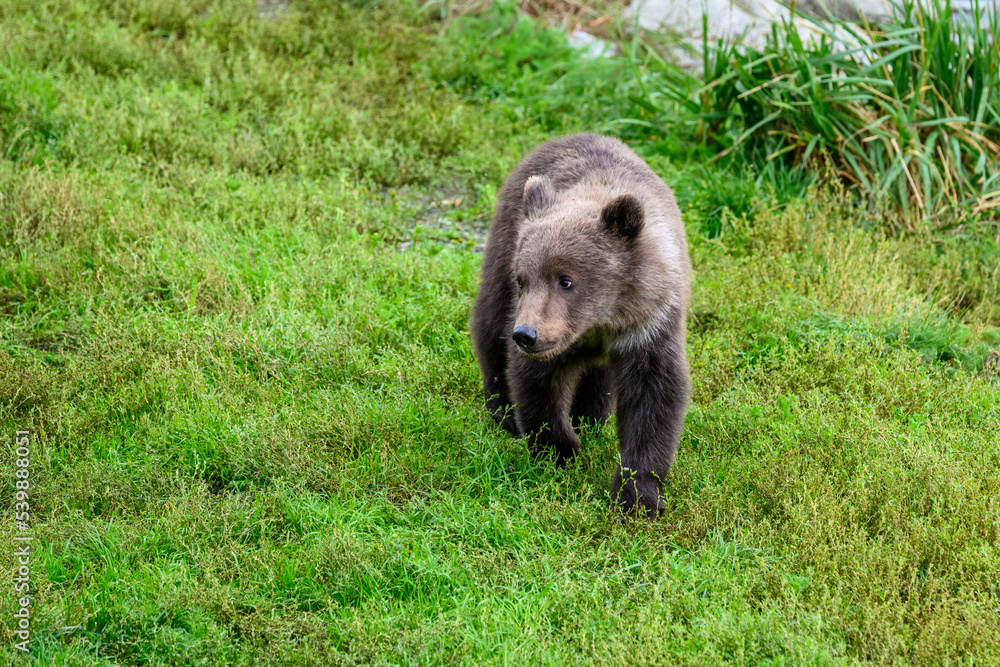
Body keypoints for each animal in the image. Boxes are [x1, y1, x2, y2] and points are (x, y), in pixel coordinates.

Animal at [471, 133, 691, 519]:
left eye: (566, 280)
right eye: (523, 279)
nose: (525, 335)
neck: (602, 320)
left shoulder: (651, 326)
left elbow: (655, 399)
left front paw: (638, 497)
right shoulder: (550, 333)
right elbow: (538, 385)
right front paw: (561, 452)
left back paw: (590, 415)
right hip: (503, 244)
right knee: (490, 320)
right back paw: (504, 409)